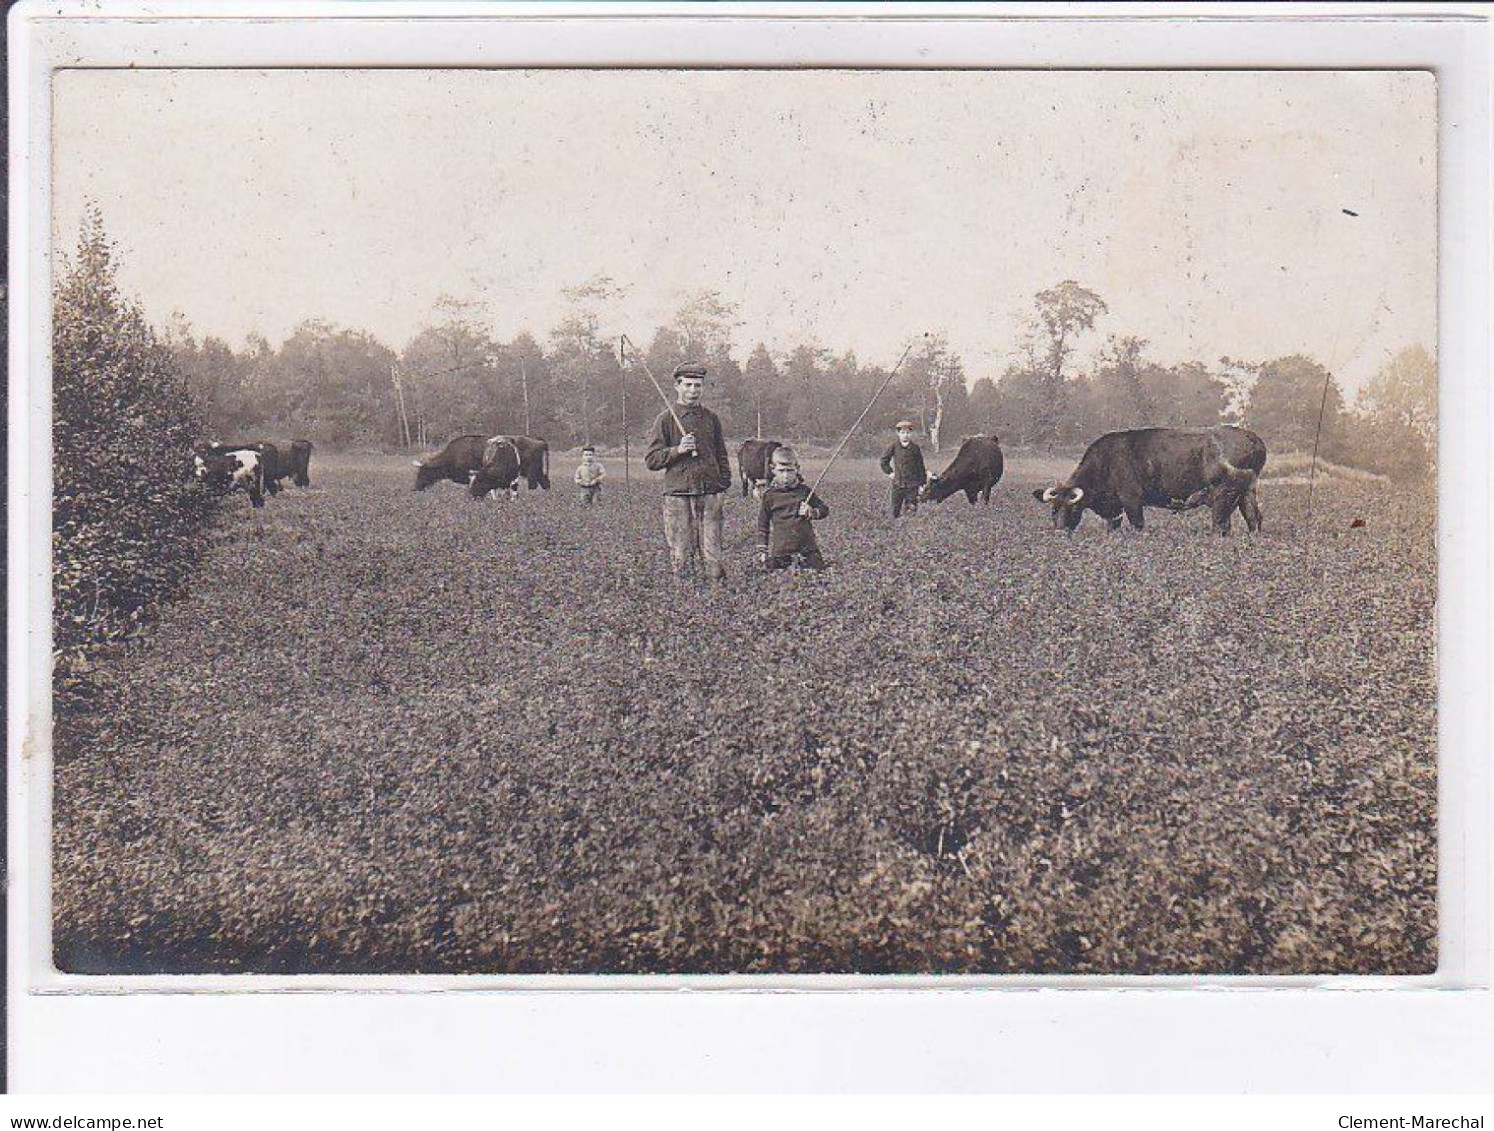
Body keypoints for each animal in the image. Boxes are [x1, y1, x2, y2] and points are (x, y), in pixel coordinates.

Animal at [1033, 424, 1266, 534]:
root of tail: (1252, 438)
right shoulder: (1115, 509)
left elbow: (1138, 525)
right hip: (1246, 493)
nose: (1060, 532)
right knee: (1254, 519)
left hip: (1222, 496)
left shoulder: (1132, 500)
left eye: (1073, 509)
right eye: (1054, 509)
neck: (1106, 461)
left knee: (1221, 525)